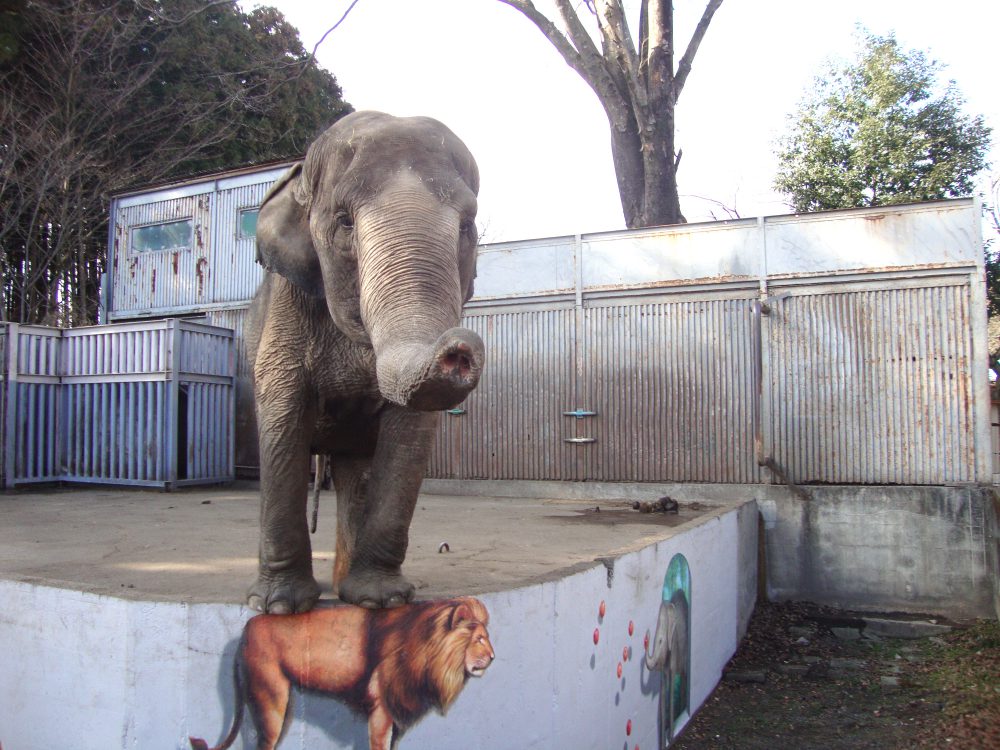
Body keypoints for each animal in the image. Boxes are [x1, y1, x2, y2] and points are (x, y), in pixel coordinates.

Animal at [244, 111, 484, 614]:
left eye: (468, 226)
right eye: (343, 223)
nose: (459, 349)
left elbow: (410, 429)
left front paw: (382, 601)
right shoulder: (286, 310)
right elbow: (281, 413)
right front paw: (279, 607)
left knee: (354, 474)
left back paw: (347, 592)